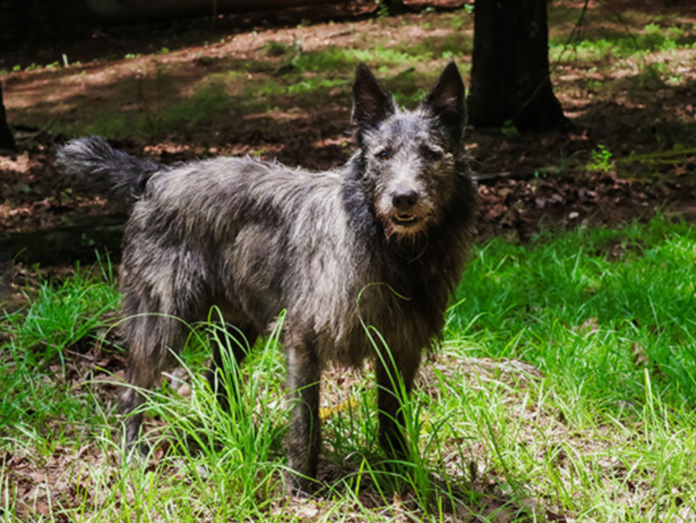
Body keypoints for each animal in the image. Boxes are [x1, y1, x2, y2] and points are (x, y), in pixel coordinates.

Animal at [57, 61, 476, 496]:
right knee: (130, 391)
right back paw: (134, 454)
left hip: (237, 324)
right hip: (161, 321)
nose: (403, 198)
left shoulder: (400, 349)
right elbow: (306, 423)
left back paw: (236, 434)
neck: (394, 250)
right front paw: (299, 488)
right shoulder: (304, 342)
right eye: (383, 154)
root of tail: (157, 176)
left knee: (217, 376)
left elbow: (393, 422)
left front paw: (404, 475)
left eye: (431, 154)